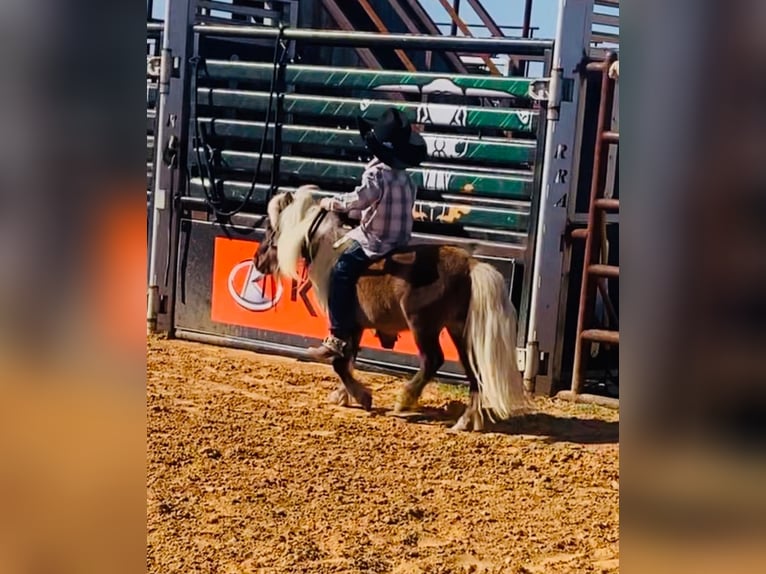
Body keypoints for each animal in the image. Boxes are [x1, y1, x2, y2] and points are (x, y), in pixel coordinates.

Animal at [253, 186, 530, 431]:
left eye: (270, 229)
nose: (257, 261)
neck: (330, 255)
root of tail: (470, 264)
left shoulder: (345, 323)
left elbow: (339, 362)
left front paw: (362, 397)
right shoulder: (357, 327)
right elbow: (349, 360)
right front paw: (344, 395)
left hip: (424, 326)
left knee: (433, 360)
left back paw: (405, 400)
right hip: (458, 329)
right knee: (473, 372)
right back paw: (465, 421)